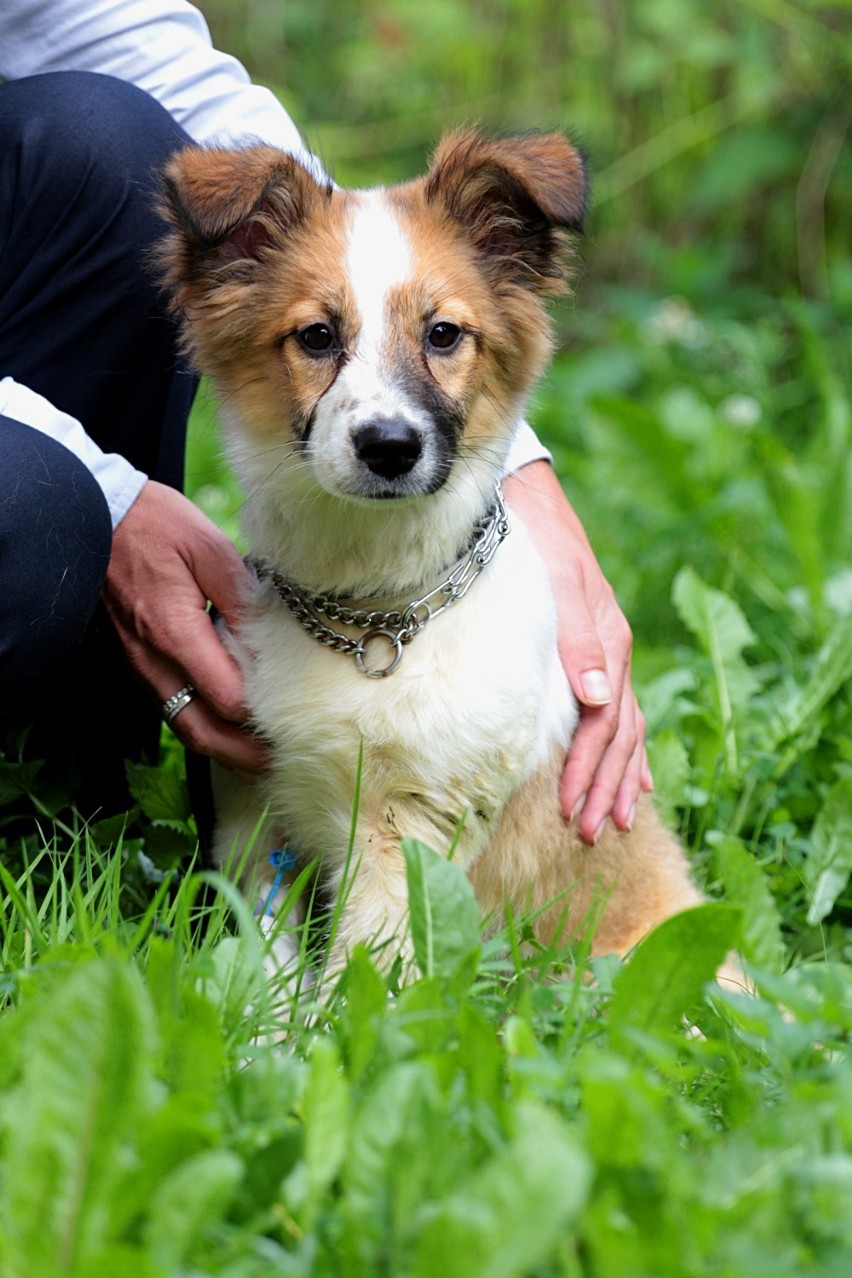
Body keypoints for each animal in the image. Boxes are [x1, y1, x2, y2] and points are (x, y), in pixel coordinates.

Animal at [158, 129, 715, 981]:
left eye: (444, 334)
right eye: (317, 336)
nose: (389, 447)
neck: (372, 619)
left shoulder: (412, 832)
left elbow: (362, 981)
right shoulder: (257, 814)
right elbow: (269, 970)